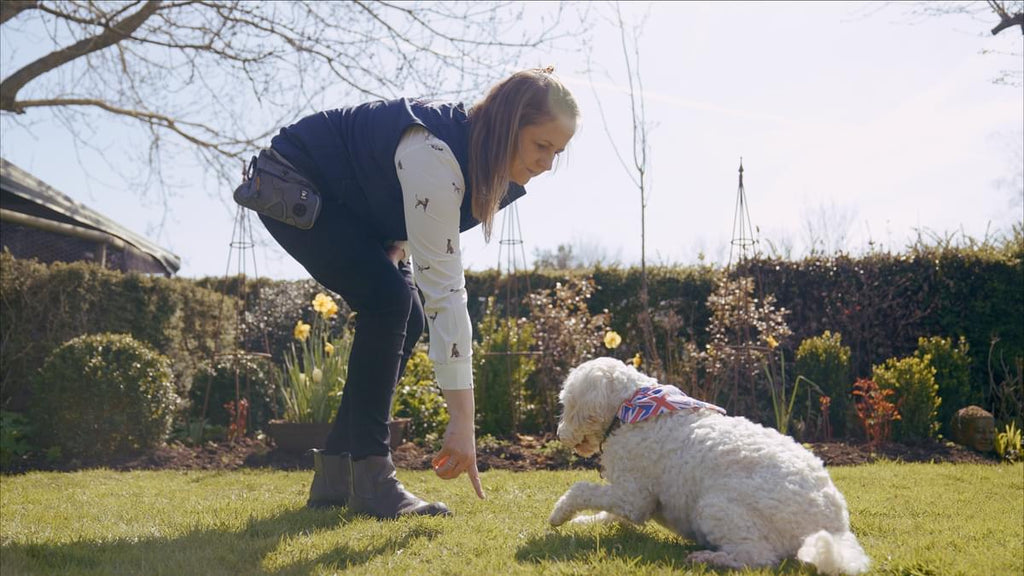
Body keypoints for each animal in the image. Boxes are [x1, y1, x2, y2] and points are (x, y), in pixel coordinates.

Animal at [548, 356, 868, 569]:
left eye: (567, 404)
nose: (559, 434)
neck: (631, 410)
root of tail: (835, 527)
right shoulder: (630, 496)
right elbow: (606, 512)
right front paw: (584, 522)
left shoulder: (633, 497)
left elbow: (581, 490)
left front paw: (559, 514)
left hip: (715, 506)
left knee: (759, 558)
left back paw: (710, 558)